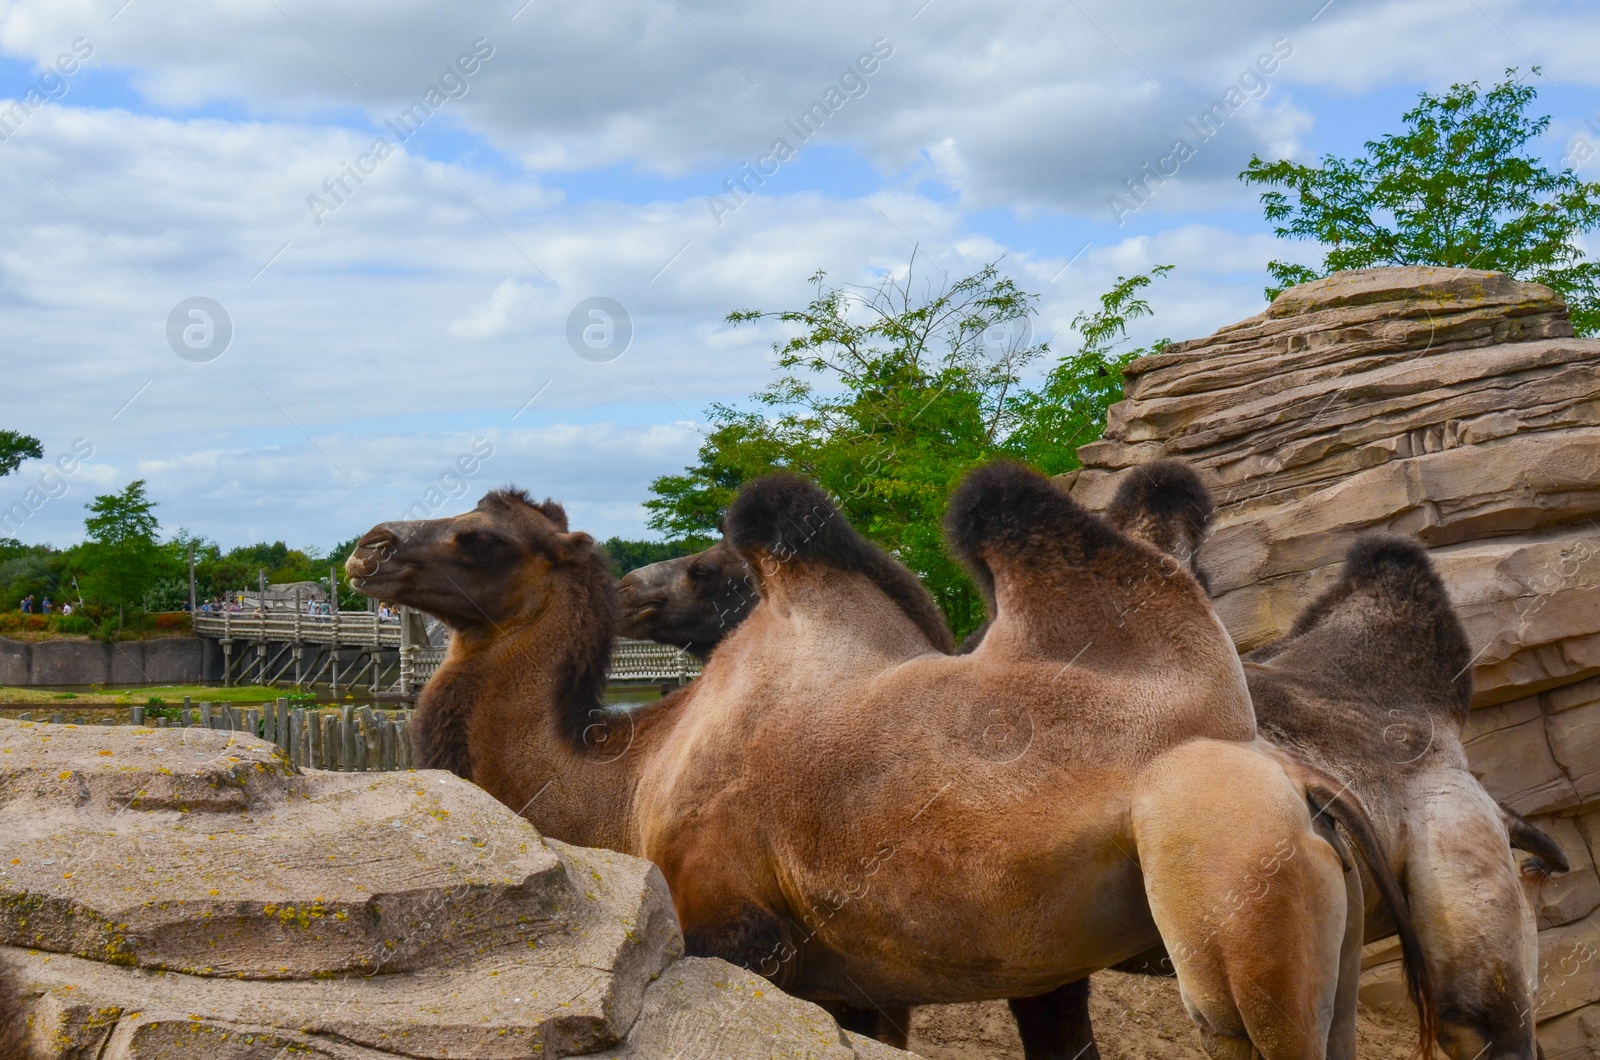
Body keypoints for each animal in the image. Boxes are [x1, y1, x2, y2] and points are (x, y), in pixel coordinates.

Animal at [347, 473, 1440, 1060]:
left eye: (480, 538)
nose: (370, 545)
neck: (623, 780)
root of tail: (1297, 779)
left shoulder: (734, 931)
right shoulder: (863, 979)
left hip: (1233, 902)